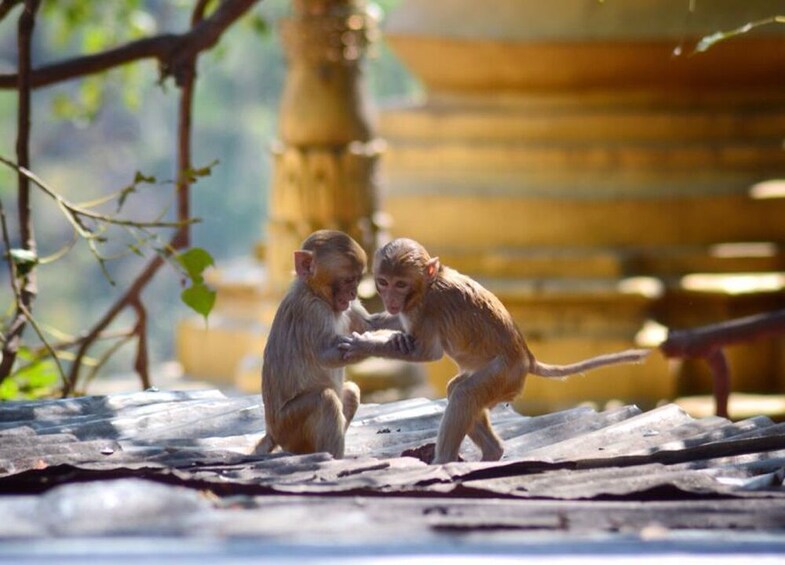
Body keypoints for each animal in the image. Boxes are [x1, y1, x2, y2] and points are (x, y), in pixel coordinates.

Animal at [254, 229, 410, 458]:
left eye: (357, 280)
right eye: (348, 280)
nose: (353, 293)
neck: (316, 293)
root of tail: (271, 433)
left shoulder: (347, 306)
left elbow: (369, 324)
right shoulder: (312, 311)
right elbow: (327, 354)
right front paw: (375, 341)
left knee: (351, 392)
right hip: (288, 428)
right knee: (325, 400)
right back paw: (330, 456)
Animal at [344, 238, 648, 462]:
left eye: (400, 284)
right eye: (383, 282)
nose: (390, 299)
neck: (426, 285)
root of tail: (527, 358)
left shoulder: (425, 310)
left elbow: (427, 353)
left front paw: (364, 344)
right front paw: (371, 322)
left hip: (505, 376)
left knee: (464, 395)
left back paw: (444, 461)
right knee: (458, 390)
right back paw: (493, 451)